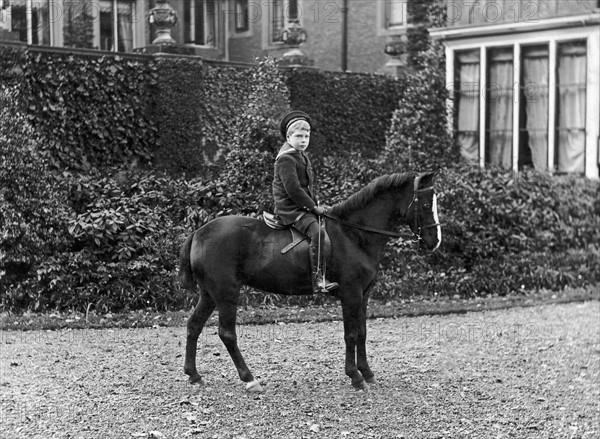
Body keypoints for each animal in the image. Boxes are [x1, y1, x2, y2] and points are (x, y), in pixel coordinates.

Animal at [178, 171, 440, 392]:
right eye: (426, 205)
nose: (434, 242)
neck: (353, 234)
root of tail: (198, 233)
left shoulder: (363, 295)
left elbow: (363, 333)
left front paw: (367, 373)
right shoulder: (351, 293)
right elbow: (351, 334)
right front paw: (355, 376)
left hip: (209, 294)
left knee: (194, 325)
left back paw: (194, 375)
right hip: (226, 293)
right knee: (227, 333)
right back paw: (250, 379)